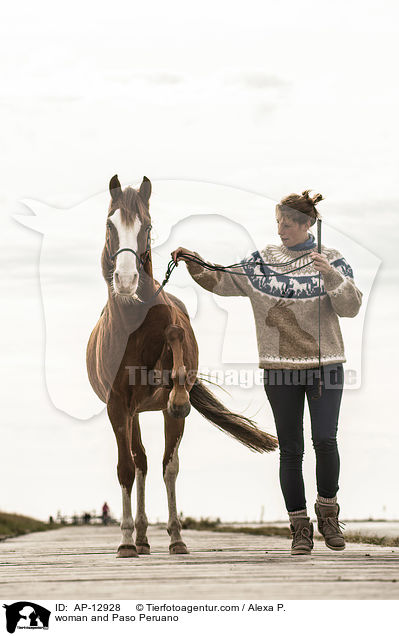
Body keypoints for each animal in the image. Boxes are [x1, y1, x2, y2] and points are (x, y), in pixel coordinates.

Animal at [85, 174, 278, 556]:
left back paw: (162, 537)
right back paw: (139, 538)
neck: (132, 322)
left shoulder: (170, 348)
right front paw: (125, 542)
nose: (126, 281)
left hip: (152, 413)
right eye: (109, 224)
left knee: (160, 465)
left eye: (147, 226)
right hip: (132, 414)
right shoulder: (117, 407)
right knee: (140, 464)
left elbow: (174, 338)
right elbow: (125, 469)